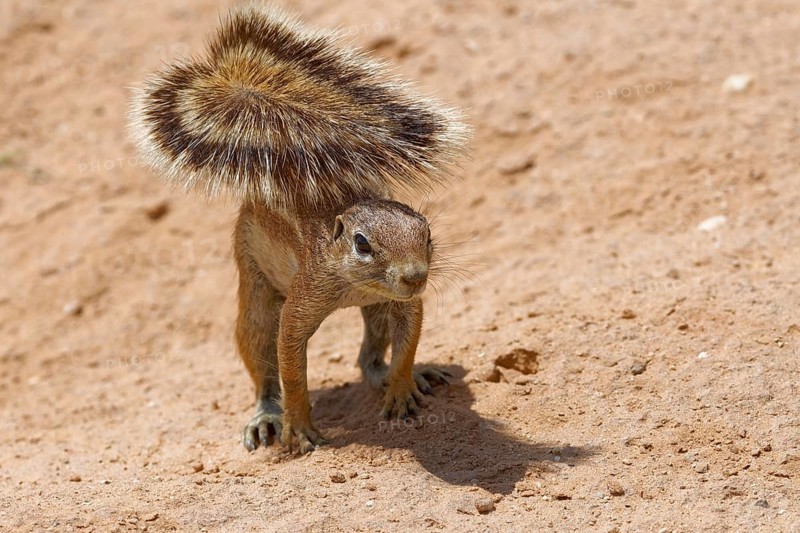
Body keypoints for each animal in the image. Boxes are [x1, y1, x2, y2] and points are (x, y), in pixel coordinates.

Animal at [129, 3, 469, 454]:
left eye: (427, 235)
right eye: (362, 243)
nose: (415, 276)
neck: (353, 282)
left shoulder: (403, 302)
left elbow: (408, 339)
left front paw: (402, 387)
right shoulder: (305, 296)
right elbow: (290, 364)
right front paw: (299, 427)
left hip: (376, 310)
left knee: (370, 358)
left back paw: (402, 376)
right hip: (254, 288)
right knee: (261, 358)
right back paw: (266, 417)